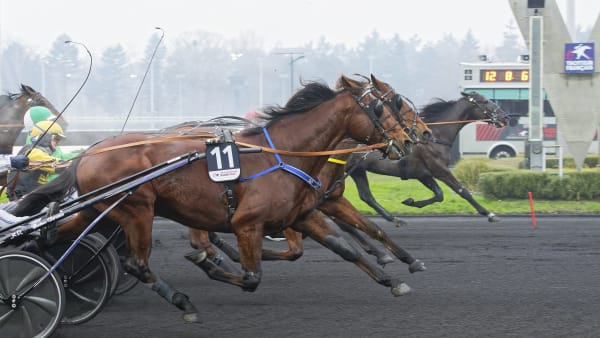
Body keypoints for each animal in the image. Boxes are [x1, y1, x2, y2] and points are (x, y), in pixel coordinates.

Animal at [15, 78, 418, 322]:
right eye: (384, 107)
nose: (411, 139)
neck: (283, 153)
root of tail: (90, 151)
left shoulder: (302, 214)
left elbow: (347, 248)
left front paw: (392, 278)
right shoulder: (247, 223)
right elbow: (252, 276)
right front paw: (211, 264)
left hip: (97, 209)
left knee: (53, 236)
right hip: (135, 210)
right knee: (137, 264)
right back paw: (182, 300)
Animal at [344, 91, 508, 226]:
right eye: (485, 101)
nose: (505, 117)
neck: (433, 137)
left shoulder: (423, 174)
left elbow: (439, 194)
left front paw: (411, 202)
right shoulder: (440, 170)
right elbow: (463, 191)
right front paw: (490, 214)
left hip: (357, 170)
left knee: (367, 196)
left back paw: (394, 218)